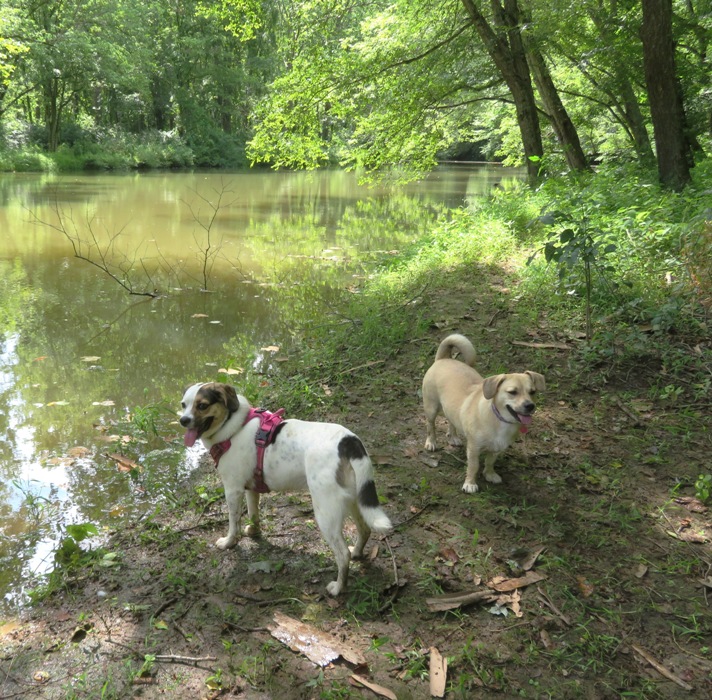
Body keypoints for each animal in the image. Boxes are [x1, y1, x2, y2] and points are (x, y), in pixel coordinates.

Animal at [178, 382, 390, 596]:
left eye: (202, 405)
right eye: (183, 405)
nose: (183, 420)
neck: (234, 427)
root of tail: (349, 441)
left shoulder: (233, 489)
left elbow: (233, 522)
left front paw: (229, 542)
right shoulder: (250, 488)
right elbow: (253, 514)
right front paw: (253, 531)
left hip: (326, 512)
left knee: (342, 554)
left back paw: (338, 587)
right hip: (355, 498)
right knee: (365, 529)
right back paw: (357, 553)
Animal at [422, 334, 544, 492]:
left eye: (532, 392)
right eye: (512, 392)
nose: (530, 406)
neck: (500, 420)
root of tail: (443, 359)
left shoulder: (496, 449)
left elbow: (489, 462)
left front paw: (490, 474)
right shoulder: (474, 448)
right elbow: (473, 467)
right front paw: (470, 484)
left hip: (450, 408)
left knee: (451, 420)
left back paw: (453, 437)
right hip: (431, 408)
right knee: (430, 426)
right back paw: (431, 442)